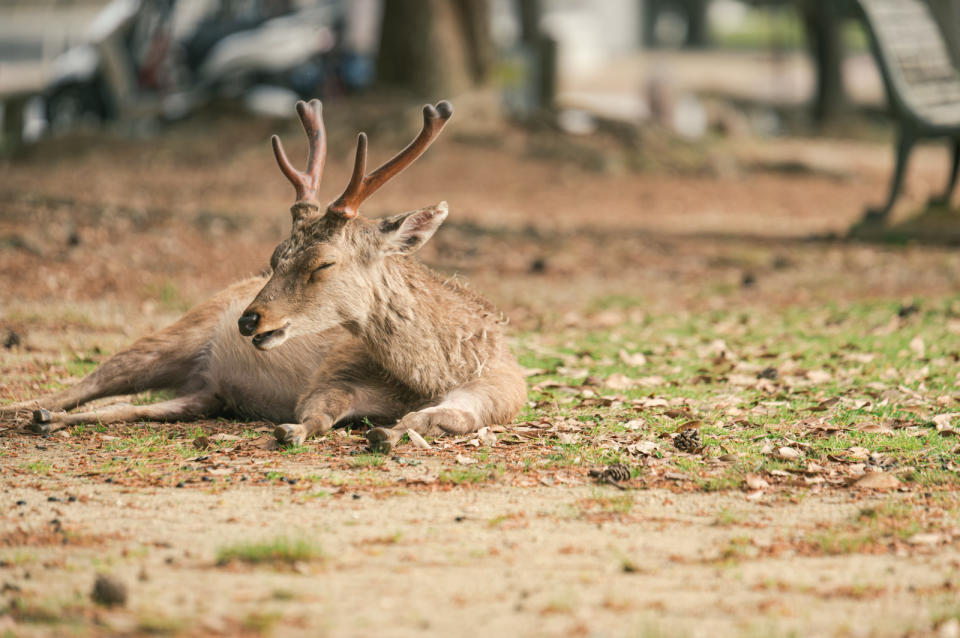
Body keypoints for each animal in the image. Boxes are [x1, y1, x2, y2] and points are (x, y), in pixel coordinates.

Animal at [1, 99, 524, 456]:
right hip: (179, 330)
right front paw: (294, 430)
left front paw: (391, 432)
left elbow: (444, 417)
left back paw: (48, 420)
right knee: (92, 378)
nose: (250, 320)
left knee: (143, 407)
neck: (430, 374)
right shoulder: (335, 372)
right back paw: (25, 409)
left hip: (205, 394)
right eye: (275, 257)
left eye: (323, 263)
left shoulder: (500, 394)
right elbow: (318, 413)